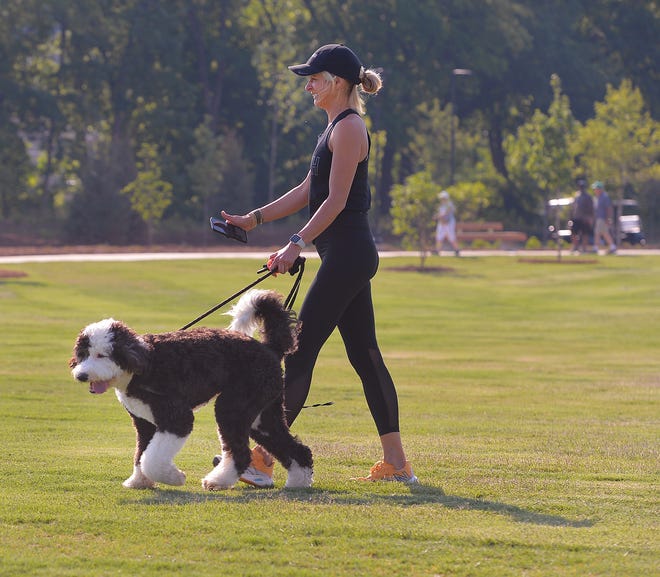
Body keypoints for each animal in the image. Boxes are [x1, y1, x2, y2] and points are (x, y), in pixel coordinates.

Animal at [71, 290, 314, 488]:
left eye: (101, 355)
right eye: (83, 354)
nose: (81, 375)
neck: (140, 366)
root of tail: (269, 348)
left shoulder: (177, 418)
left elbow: (151, 459)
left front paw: (174, 477)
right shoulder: (145, 423)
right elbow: (141, 453)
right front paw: (139, 481)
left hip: (234, 407)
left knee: (241, 453)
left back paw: (218, 481)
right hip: (262, 417)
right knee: (295, 448)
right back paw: (299, 482)